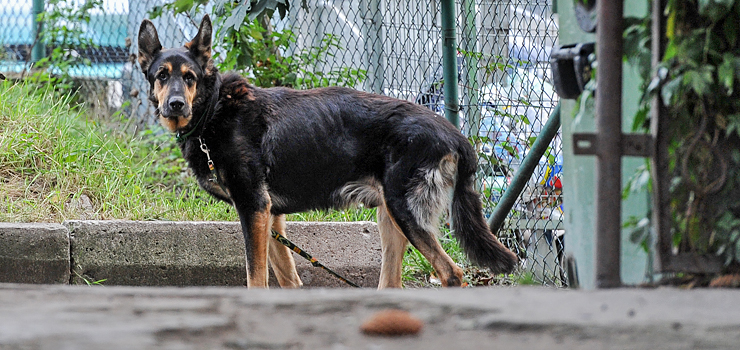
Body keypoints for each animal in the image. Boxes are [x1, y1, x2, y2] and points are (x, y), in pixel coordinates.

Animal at [137, 15, 516, 288]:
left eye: (189, 77)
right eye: (161, 76)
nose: (175, 104)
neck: (214, 109)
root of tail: (452, 132)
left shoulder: (254, 208)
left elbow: (255, 279)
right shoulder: (270, 217)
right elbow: (287, 279)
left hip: (405, 212)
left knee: (451, 274)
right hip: (390, 218)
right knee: (392, 284)